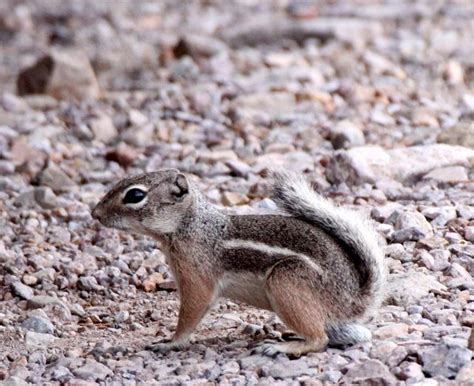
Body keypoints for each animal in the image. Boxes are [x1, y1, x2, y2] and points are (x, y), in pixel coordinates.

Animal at [92, 170, 386, 358]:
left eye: (135, 195)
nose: (94, 213)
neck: (190, 225)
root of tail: (354, 299)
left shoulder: (197, 279)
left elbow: (191, 313)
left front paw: (170, 343)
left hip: (286, 281)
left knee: (319, 339)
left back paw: (281, 347)